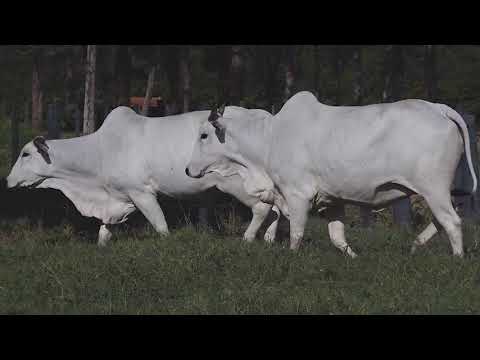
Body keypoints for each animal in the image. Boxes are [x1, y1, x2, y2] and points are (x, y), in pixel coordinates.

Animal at [5, 106, 280, 245]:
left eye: (25, 153)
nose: (7, 180)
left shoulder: (142, 193)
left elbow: (160, 227)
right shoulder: (117, 198)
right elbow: (103, 233)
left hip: (237, 183)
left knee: (263, 208)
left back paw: (247, 240)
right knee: (277, 207)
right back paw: (268, 240)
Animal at [185, 91, 476, 258]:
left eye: (204, 135)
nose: (188, 169)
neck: (269, 138)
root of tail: (438, 108)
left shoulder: (297, 194)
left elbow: (296, 233)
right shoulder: (332, 200)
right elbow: (338, 238)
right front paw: (354, 259)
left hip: (433, 187)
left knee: (451, 221)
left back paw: (457, 259)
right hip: (435, 190)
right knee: (441, 220)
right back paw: (416, 246)